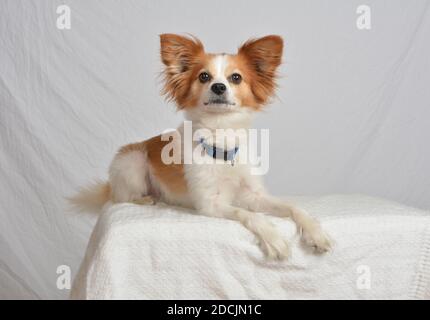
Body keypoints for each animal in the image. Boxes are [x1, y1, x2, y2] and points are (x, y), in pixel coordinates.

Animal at [71, 33, 332, 258]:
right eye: (204, 77)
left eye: (236, 77)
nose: (219, 87)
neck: (221, 139)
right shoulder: (210, 204)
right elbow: (248, 214)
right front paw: (273, 238)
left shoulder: (254, 195)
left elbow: (292, 207)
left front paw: (315, 233)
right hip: (133, 162)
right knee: (121, 197)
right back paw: (147, 199)